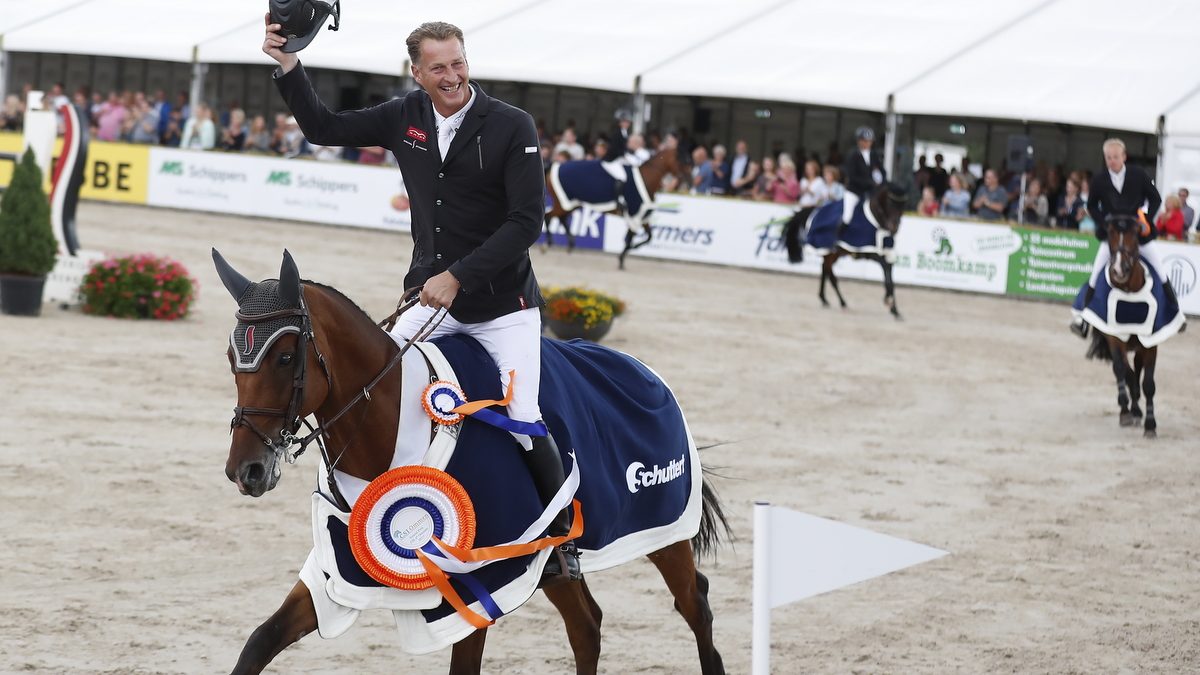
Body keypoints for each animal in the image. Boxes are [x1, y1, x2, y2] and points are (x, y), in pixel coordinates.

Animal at [211, 248, 724, 672]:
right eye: (233, 358)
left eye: (284, 357)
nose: (245, 472)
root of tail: (644, 371)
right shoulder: (336, 568)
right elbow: (260, 641)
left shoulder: (476, 586)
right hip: (555, 564)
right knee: (587, 626)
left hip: (665, 533)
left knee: (694, 605)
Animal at [782, 182, 902, 319]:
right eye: (890, 203)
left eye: (903, 206)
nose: (894, 228)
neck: (876, 221)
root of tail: (816, 210)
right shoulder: (870, 252)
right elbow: (886, 270)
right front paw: (888, 301)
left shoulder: (888, 253)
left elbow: (890, 278)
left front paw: (895, 310)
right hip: (830, 251)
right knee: (830, 275)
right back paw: (842, 302)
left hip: (834, 254)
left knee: (825, 270)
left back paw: (824, 299)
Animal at [1075, 214, 1185, 437]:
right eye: (1109, 234)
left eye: (1135, 235)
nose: (1119, 270)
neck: (1129, 290)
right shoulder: (1114, 338)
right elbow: (1122, 372)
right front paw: (1126, 412)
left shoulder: (1150, 342)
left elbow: (1148, 383)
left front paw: (1150, 424)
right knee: (1127, 373)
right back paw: (1131, 409)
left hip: (1139, 346)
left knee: (1136, 371)